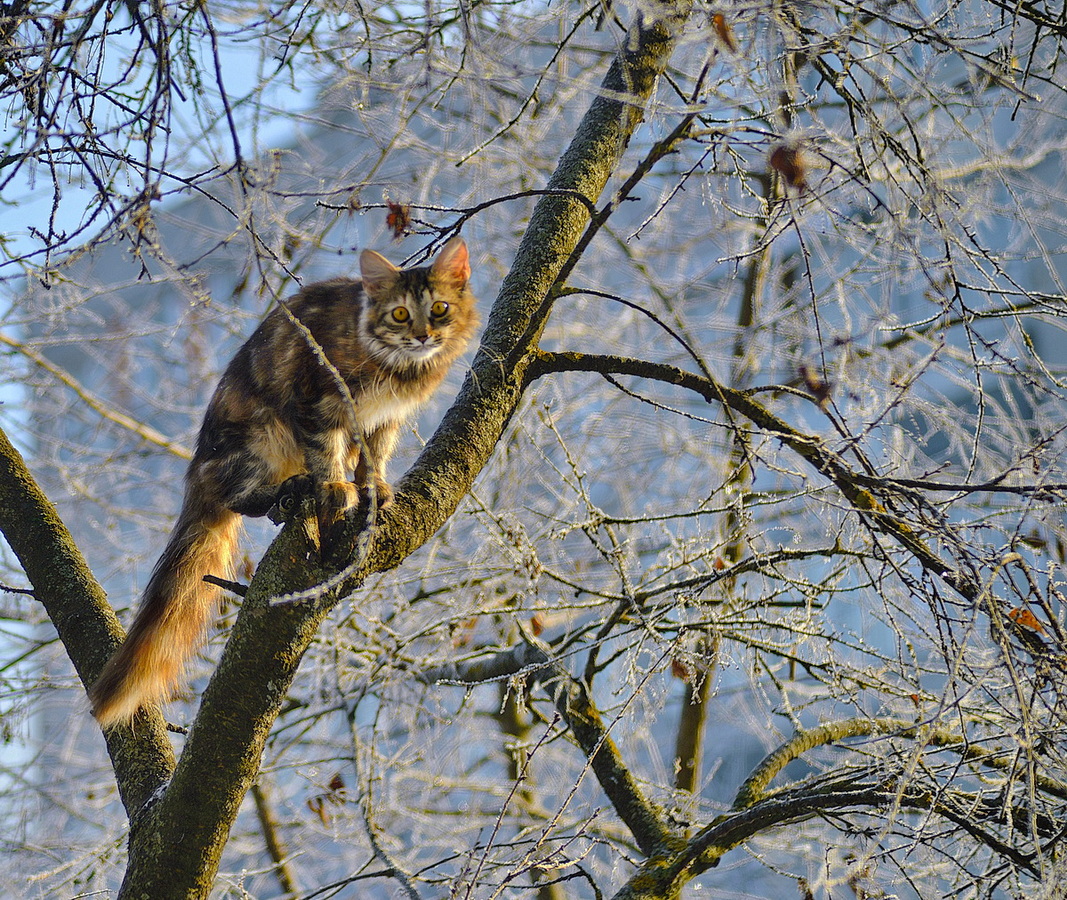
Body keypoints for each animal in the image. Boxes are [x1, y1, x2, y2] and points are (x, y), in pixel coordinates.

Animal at [87, 235, 480, 730]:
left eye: (440, 309)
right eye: (400, 314)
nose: (424, 335)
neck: (395, 367)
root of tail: (196, 472)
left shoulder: (383, 420)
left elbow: (373, 459)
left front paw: (374, 489)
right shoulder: (317, 401)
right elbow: (328, 455)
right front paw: (335, 489)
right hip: (257, 438)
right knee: (238, 496)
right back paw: (291, 490)